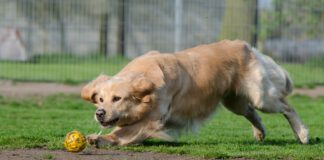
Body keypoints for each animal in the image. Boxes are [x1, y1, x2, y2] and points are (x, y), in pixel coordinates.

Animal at [81, 39, 308, 147]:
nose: (99, 113)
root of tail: (246, 46)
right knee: (253, 113)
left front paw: (100, 139)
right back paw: (260, 133)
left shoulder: (152, 120)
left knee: (287, 107)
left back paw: (303, 134)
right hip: (234, 101)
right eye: (100, 99)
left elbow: (122, 132)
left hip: (261, 96)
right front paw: (98, 138)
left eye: (117, 98)